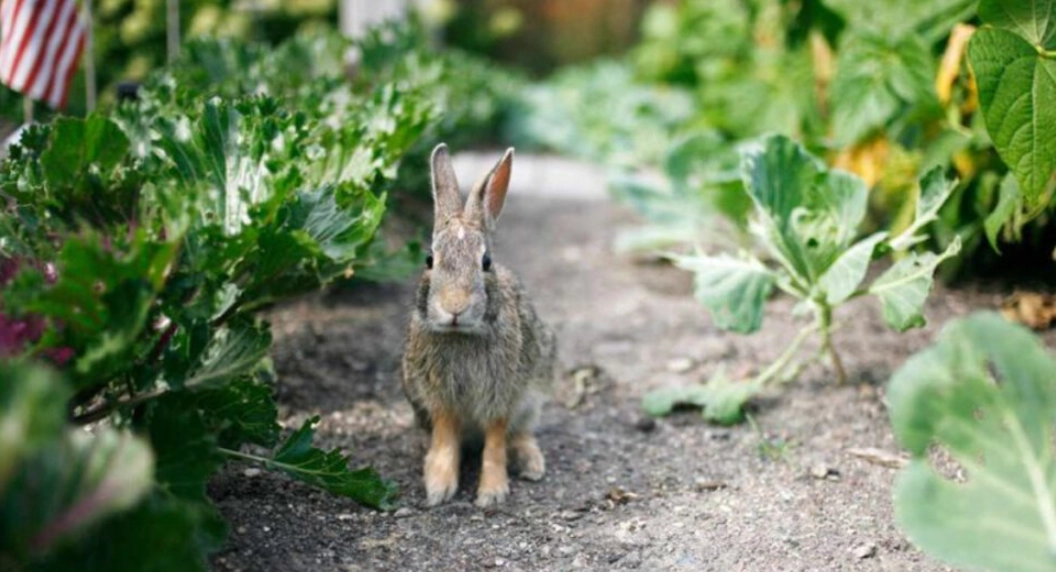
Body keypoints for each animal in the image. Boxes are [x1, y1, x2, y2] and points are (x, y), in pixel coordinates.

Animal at [402, 143, 556, 508]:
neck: (462, 334)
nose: (454, 307)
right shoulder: (439, 397)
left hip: (535, 393)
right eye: (429, 260)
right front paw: (438, 487)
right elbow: (446, 437)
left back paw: (531, 463)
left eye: (486, 262)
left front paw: (492, 493)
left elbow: (496, 440)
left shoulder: (503, 393)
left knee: (521, 432)